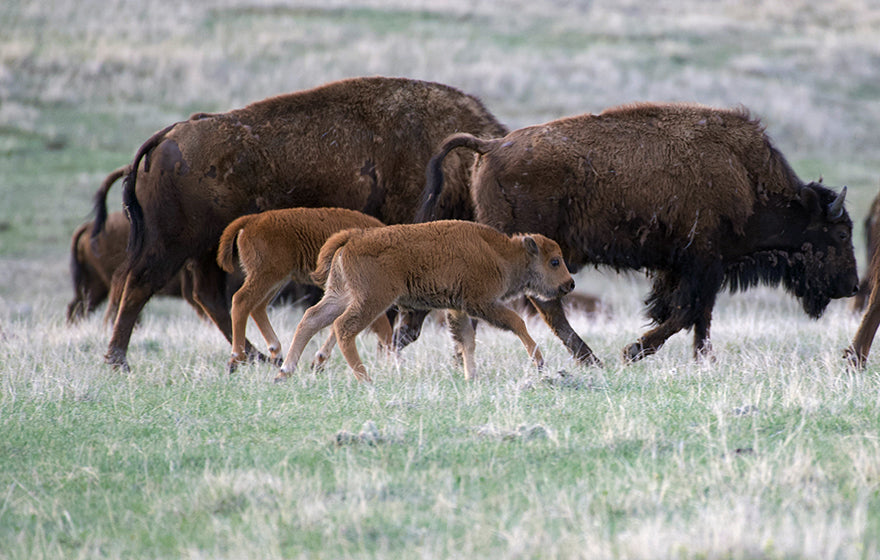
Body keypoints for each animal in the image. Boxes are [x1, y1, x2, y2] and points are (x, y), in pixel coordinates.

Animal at [215, 206, 390, 372]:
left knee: (257, 307)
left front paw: (318, 363)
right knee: (241, 301)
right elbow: (382, 327)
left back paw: (277, 355)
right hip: (266, 276)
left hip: (277, 279)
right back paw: (235, 361)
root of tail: (252, 220)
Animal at [276, 221, 576, 382]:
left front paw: (471, 376)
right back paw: (365, 378)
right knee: (343, 328)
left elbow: (466, 340)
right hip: (372, 300)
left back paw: (285, 371)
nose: (570, 284)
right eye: (554, 261)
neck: (500, 252)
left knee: (311, 319)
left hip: (340, 294)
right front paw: (538, 361)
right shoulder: (482, 303)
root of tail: (354, 238)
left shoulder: (457, 308)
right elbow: (516, 322)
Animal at [420, 101, 860, 364]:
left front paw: (703, 359)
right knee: (543, 304)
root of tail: (490, 147)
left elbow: (700, 315)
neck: (745, 177)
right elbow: (685, 311)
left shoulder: (699, 267)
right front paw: (633, 350)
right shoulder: (702, 262)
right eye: (840, 235)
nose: (853, 286)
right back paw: (591, 359)